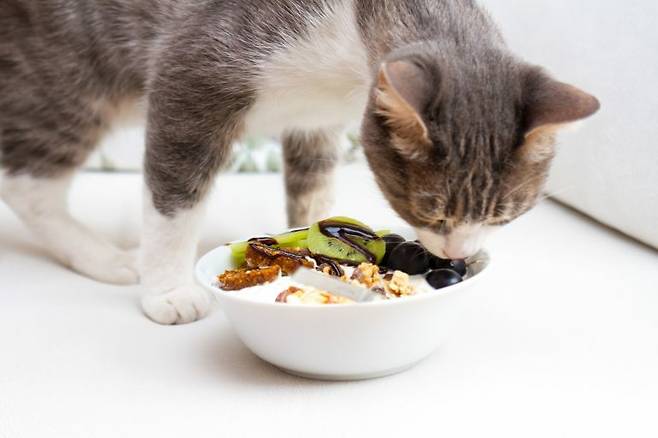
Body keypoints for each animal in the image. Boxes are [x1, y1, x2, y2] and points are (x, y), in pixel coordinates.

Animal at [0, 0, 599, 324]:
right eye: (431, 210)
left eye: (505, 214)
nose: (457, 255)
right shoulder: (194, 69)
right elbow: (175, 197)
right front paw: (167, 290)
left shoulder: (317, 118)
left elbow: (313, 183)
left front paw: (323, 233)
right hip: (70, 73)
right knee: (28, 181)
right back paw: (100, 256)